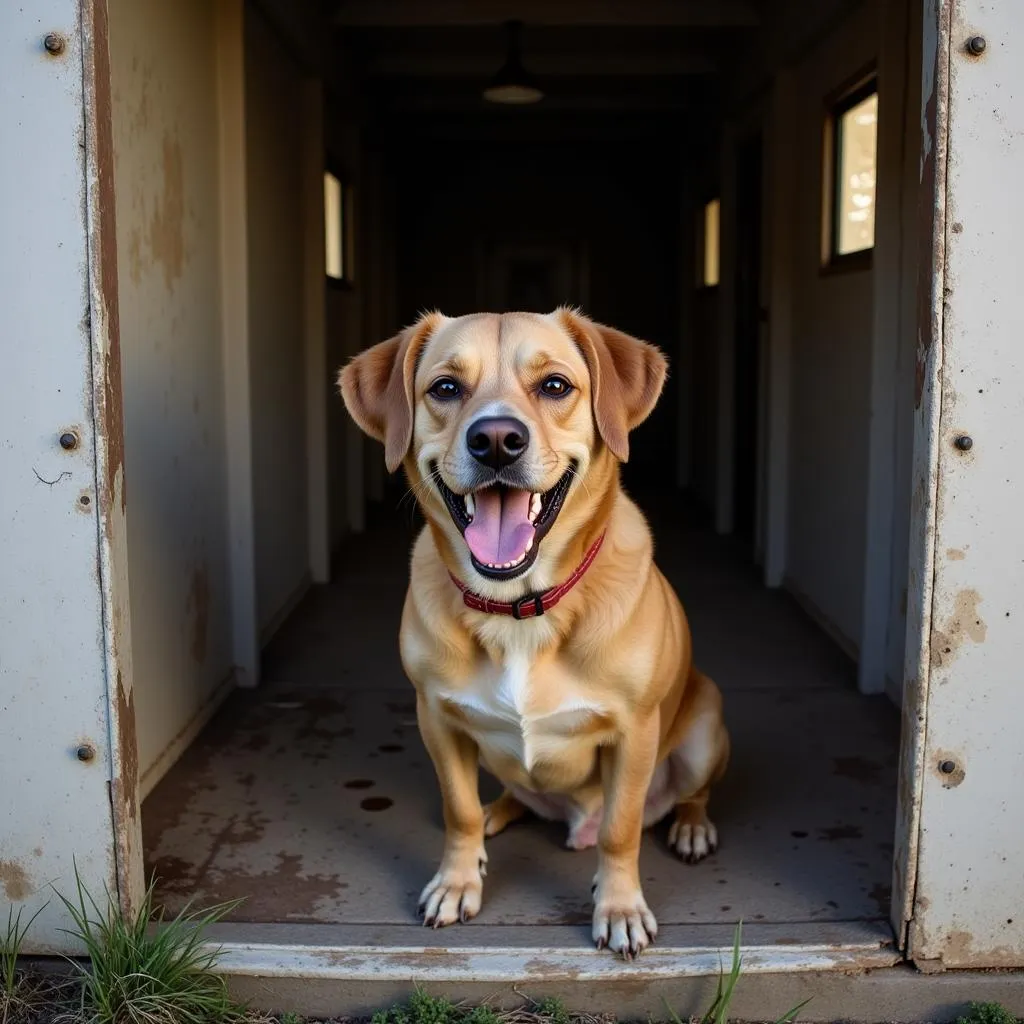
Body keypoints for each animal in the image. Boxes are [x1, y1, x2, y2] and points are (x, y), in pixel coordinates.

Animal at [339, 307, 733, 954]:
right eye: (445, 387)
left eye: (554, 385)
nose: (497, 440)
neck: (519, 608)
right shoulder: (436, 718)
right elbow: (457, 809)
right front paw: (458, 880)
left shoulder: (635, 733)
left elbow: (621, 831)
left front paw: (620, 907)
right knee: (506, 799)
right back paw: (497, 815)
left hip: (703, 730)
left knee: (686, 795)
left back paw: (692, 827)